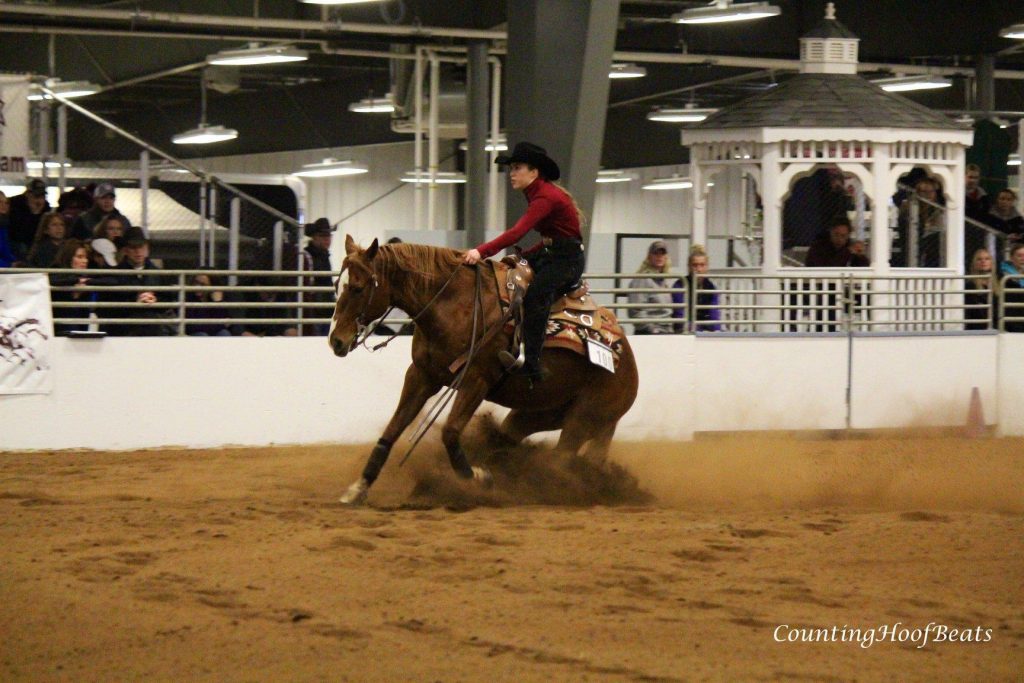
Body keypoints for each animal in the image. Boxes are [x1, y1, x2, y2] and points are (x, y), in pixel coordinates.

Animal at [329, 235, 639, 505]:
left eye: (357, 287)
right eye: (336, 286)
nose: (336, 341)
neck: (453, 304)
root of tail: (626, 358)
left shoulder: (475, 380)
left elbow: (450, 433)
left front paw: (480, 478)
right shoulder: (421, 376)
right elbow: (392, 430)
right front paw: (358, 488)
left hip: (585, 418)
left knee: (562, 461)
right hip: (537, 413)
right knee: (513, 437)